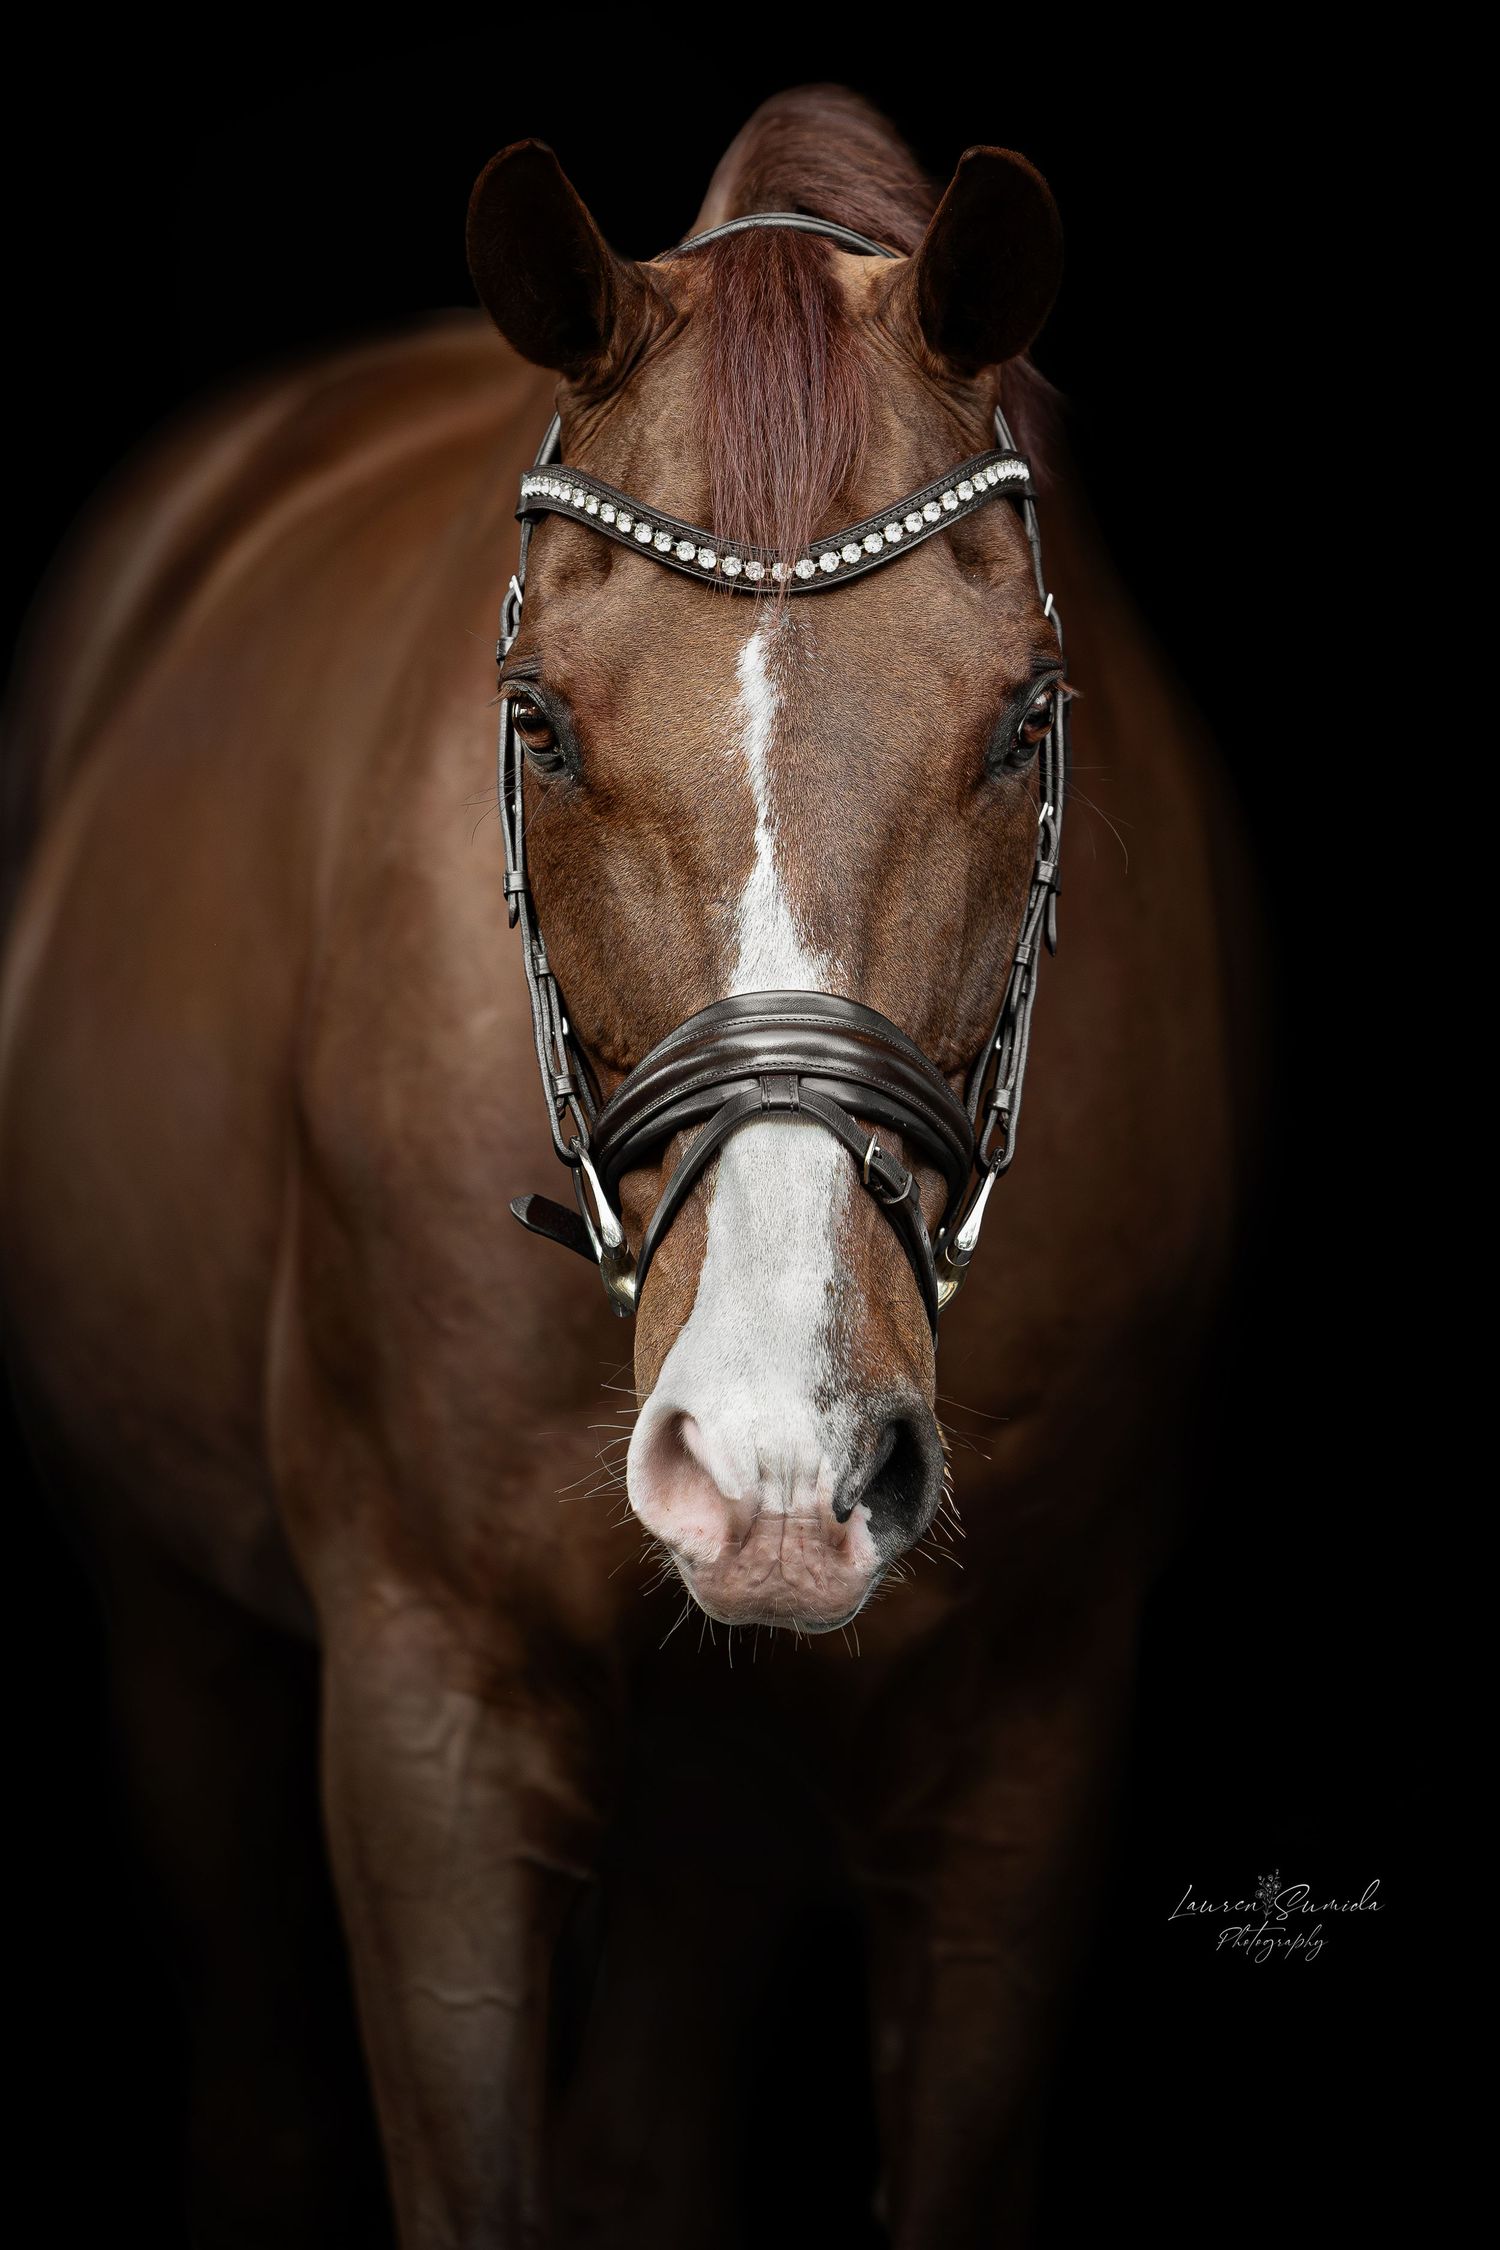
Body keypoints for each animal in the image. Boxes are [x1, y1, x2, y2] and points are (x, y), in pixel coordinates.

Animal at [0, 85, 1255, 2249]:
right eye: (541, 728)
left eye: (1025, 723)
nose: (780, 1455)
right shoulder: (432, 1719)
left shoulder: (1031, 1750)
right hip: (180, 1650)